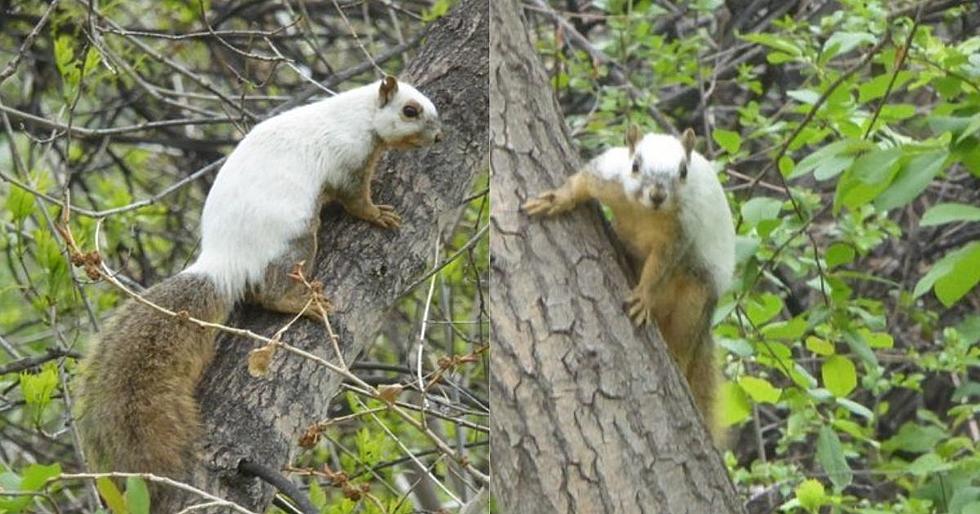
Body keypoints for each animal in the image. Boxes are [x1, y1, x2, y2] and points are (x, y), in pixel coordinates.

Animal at [524, 126, 732, 438]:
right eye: (635, 165)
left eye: (683, 171)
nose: (657, 194)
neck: (645, 211)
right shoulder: (609, 177)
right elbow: (582, 182)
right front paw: (557, 199)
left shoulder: (678, 235)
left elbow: (660, 268)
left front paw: (643, 296)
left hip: (695, 300)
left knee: (684, 340)